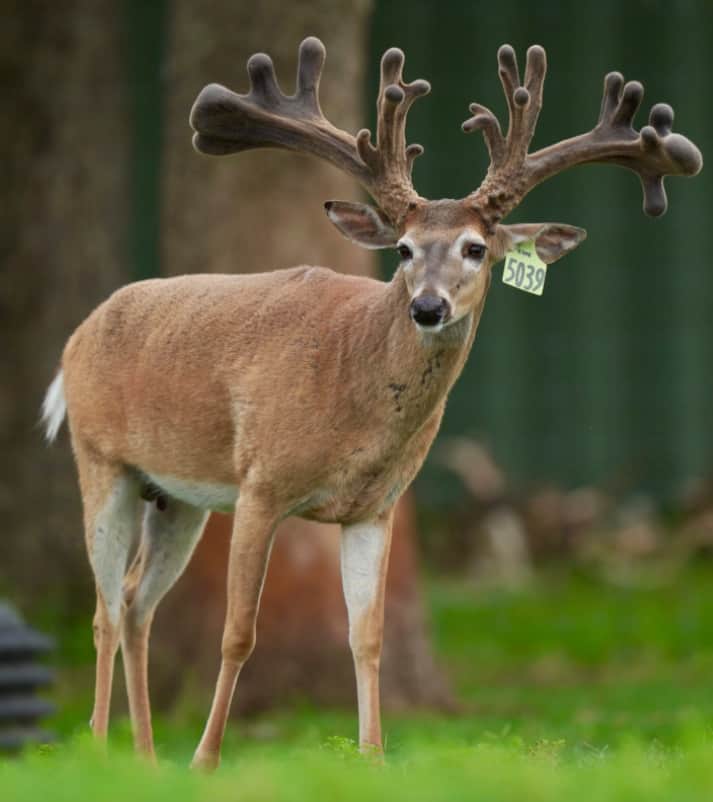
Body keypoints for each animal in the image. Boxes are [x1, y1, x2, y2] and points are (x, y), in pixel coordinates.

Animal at [41, 36, 701, 769]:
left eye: (477, 248)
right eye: (405, 249)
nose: (427, 306)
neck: (351, 392)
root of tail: (77, 338)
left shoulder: (374, 508)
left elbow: (366, 637)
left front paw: (374, 759)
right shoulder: (260, 482)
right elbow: (238, 631)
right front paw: (207, 761)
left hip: (176, 497)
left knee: (135, 601)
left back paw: (147, 760)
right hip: (101, 461)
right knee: (103, 607)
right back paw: (104, 750)